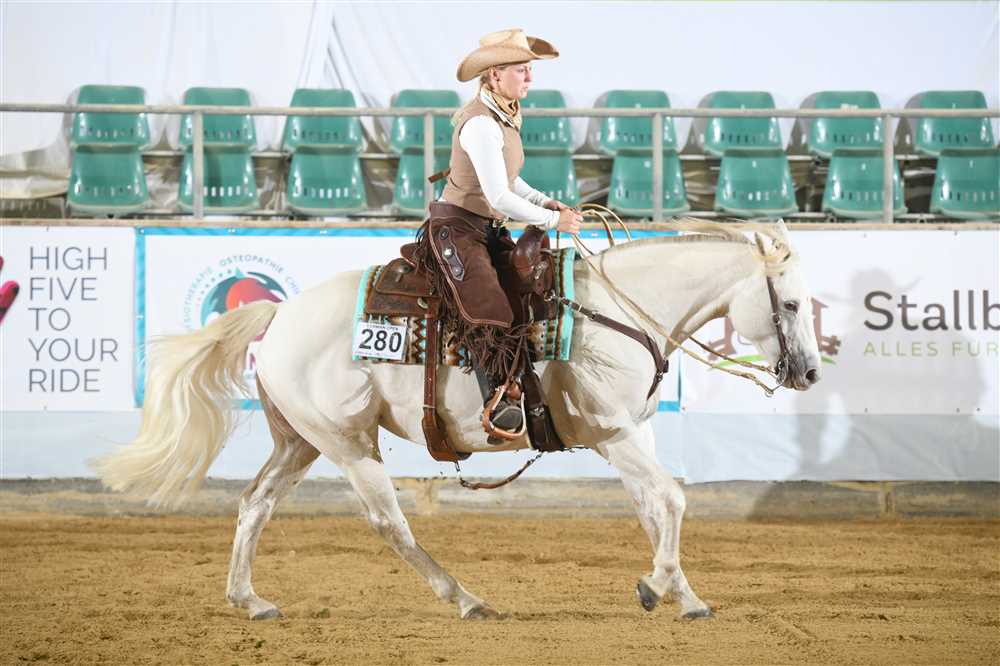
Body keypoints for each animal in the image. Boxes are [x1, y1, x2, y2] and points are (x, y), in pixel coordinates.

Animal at [95, 219, 822, 622]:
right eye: (789, 302)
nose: (811, 374)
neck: (622, 310)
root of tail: (279, 317)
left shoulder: (626, 435)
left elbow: (655, 506)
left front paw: (683, 596)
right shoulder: (611, 432)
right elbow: (671, 497)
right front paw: (656, 587)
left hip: (298, 441)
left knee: (254, 505)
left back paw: (250, 601)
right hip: (348, 442)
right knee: (389, 523)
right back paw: (468, 598)